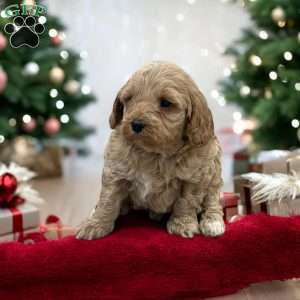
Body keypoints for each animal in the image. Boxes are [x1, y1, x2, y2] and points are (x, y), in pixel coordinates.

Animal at [77, 62, 225, 240]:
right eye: (129, 99)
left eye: (166, 103)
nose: (136, 124)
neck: (154, 152)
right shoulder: (115, 170)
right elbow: (108, 199)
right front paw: (95, 224)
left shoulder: (195, 177)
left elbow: (186, 201)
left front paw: (182, 225)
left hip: (214, 170)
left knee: (213, 200)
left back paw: (213, 223)